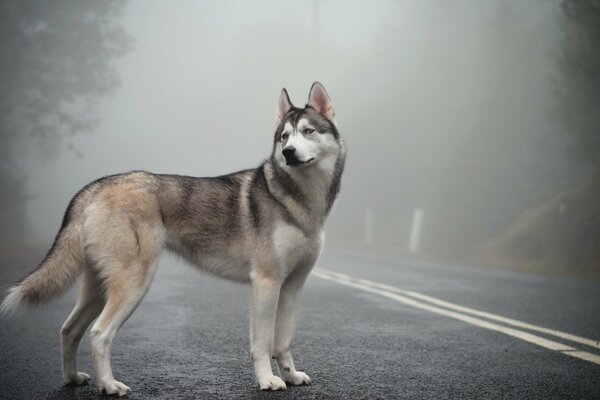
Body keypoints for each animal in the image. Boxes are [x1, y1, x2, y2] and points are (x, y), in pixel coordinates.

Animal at [0, 82, 346, 396]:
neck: (299, 201)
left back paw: (72, 379)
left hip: (97, 290)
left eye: (308, 131)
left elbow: (283, 341)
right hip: (133, 284)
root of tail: (96, 186)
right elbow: (262, 343)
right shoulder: (266, 281)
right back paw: (109, 385)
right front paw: (268, 380)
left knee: (69, 330)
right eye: (285, 136)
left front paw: (291, 376)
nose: (288, 153)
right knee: (99, 334)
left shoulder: (292, 286)